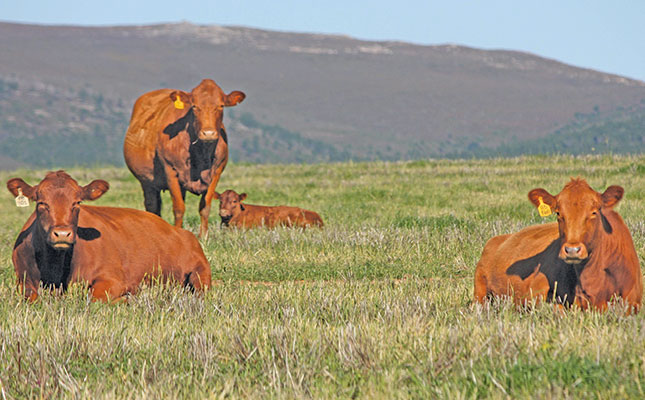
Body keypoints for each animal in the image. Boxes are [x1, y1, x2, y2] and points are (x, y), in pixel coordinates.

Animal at [6, 170, 211, 302]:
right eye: (41, 203)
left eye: (77, 203)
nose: (62, 233)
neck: (54, 269)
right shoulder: (22, 281)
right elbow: (31, 297)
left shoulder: (114, 279)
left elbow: (94, 298)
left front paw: (127, 298)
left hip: (200, 272)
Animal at [122, 79, 244, 239]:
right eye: (194, 106)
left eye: (221, 106)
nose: (209, 133)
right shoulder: (170, 170)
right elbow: (178, 208)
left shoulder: (216, 172)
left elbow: (205, 206)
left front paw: (203, 237)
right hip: (146, 181)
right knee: (152, 206)